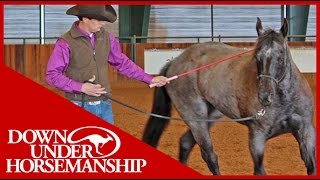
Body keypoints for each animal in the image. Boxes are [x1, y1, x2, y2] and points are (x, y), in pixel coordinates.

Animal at [142, 17, 316, 175]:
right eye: (256, 57)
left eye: (280, 56)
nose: (264, 96)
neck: (285, 101)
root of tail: (175, 63)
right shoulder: (257, 138)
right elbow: (259, 170)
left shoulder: (306, 132)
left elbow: (311, 167)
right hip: (195, 118)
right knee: (209, 156)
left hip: (210, 116)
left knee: (185, 143)